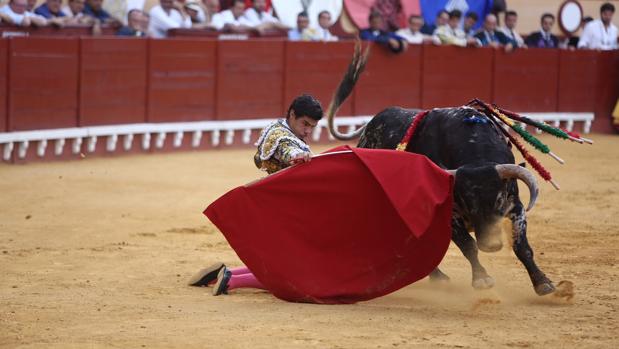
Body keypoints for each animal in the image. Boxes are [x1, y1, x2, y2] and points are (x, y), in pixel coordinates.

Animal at [330, 43, 556, 294]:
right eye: (468, 201)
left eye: (498, 199)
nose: (491, 245)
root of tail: (371, 124)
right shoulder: (450, 216)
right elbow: (468, 246)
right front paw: (481, 278)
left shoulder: (515, 205)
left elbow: (521, 246)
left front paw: (543, 282)